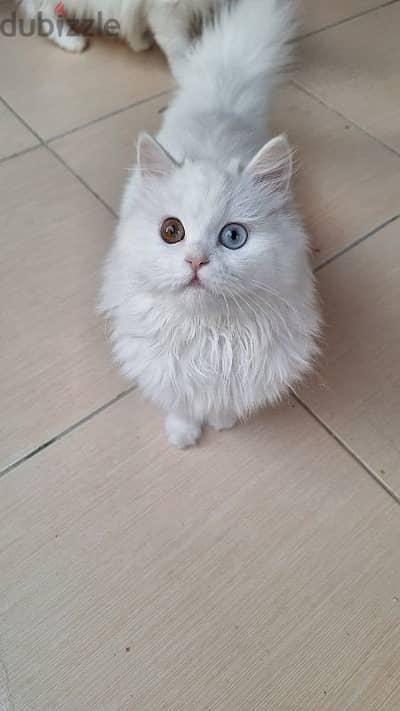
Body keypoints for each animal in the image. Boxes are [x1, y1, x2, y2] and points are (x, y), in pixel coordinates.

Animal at [21, 0, 225, 60]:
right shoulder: (168, 12)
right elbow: (178, 48)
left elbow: (136, 22)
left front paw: (139, 43)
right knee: (43, 12)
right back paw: (71, 41)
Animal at [100, 0, 322, 444]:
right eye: (172, 232)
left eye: (233, 237)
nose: (196, 262)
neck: (210, 338)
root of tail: (220, 104)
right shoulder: (164, 367)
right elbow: (181, 404)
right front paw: (184, 436)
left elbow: (220, 403)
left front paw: (221, 422)